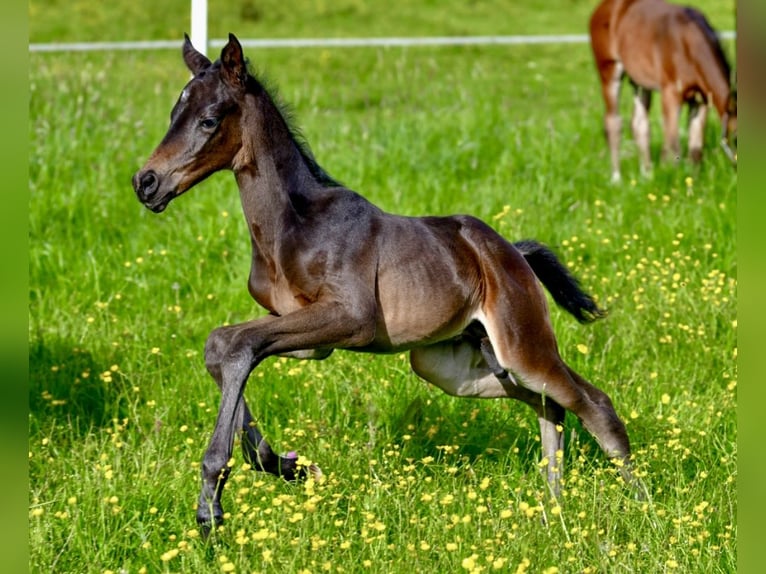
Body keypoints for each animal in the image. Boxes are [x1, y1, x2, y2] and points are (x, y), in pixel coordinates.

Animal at [132, 33, 636, 532]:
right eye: (174, 114)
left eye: (208, 119)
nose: (146, 182)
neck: (292, 224)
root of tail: (511, 253)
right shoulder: (310, 336)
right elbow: (224, 346)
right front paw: (287, 466)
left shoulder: (351, 319)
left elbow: (237, 345)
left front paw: (212, 501)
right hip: (455, 366)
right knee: (550, 405)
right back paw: (555, 510)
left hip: (521, 345)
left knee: (594, 404)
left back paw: (638, 503)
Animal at [588, 0, 736, 182]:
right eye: (737, 138)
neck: (688, 42)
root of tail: (602, 7)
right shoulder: (670, 94)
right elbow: (672, 147)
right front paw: (672, 180)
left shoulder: (701, 99)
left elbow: (696, 148)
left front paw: (693, 181)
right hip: (609, 70)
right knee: (613, 122)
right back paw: (617, 178)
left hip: (639, 81)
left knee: (639, 124)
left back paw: (646, 174)